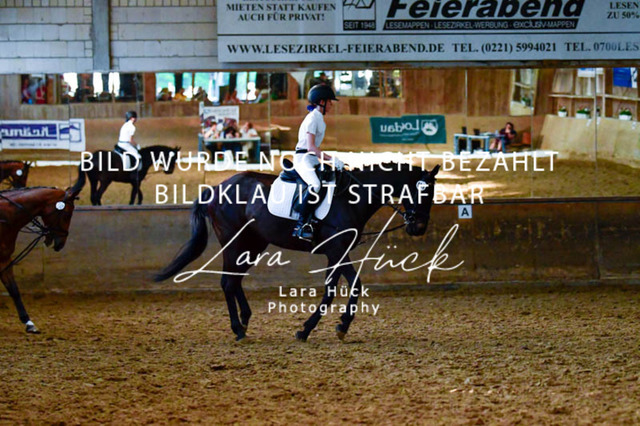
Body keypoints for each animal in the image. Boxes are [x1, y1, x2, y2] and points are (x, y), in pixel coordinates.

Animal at [0, 177, 84, 333]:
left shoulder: (4, 259)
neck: (4, 218)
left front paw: (29, 323)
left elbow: (14, 290)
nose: (61, 244)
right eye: (67, 214)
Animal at [156, 162, 440, 342]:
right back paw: (238, 328)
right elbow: (355, 285)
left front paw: (310, 329)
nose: (418, 227)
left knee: (235, 280)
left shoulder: (334, 254)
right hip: (234, 243)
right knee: (227, 282)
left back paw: (245, 322)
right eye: (422, 192)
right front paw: (340, 325)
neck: (352, 198)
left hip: (253, 245)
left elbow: (330, 290)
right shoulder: (339, 251)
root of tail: (216, 188)